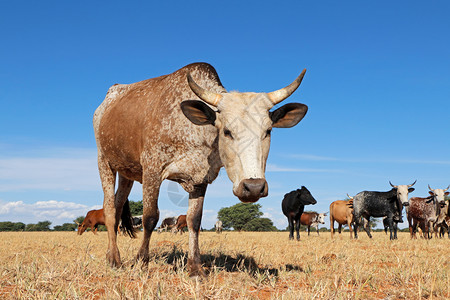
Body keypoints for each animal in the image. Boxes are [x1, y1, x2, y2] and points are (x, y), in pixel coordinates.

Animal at [93, 62, 308, 276]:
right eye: (227, 131)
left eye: (268, 131)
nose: (253, 187)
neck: (192, 130)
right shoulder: (152, 169)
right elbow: (150, 217)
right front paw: (141, 263)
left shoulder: (200, 179)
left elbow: (194, 221)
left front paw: (195, 267)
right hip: (104, 161)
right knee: (110, 209)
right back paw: (115, 259)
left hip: (126, 173)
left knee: (118, 206)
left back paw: (110, 255)